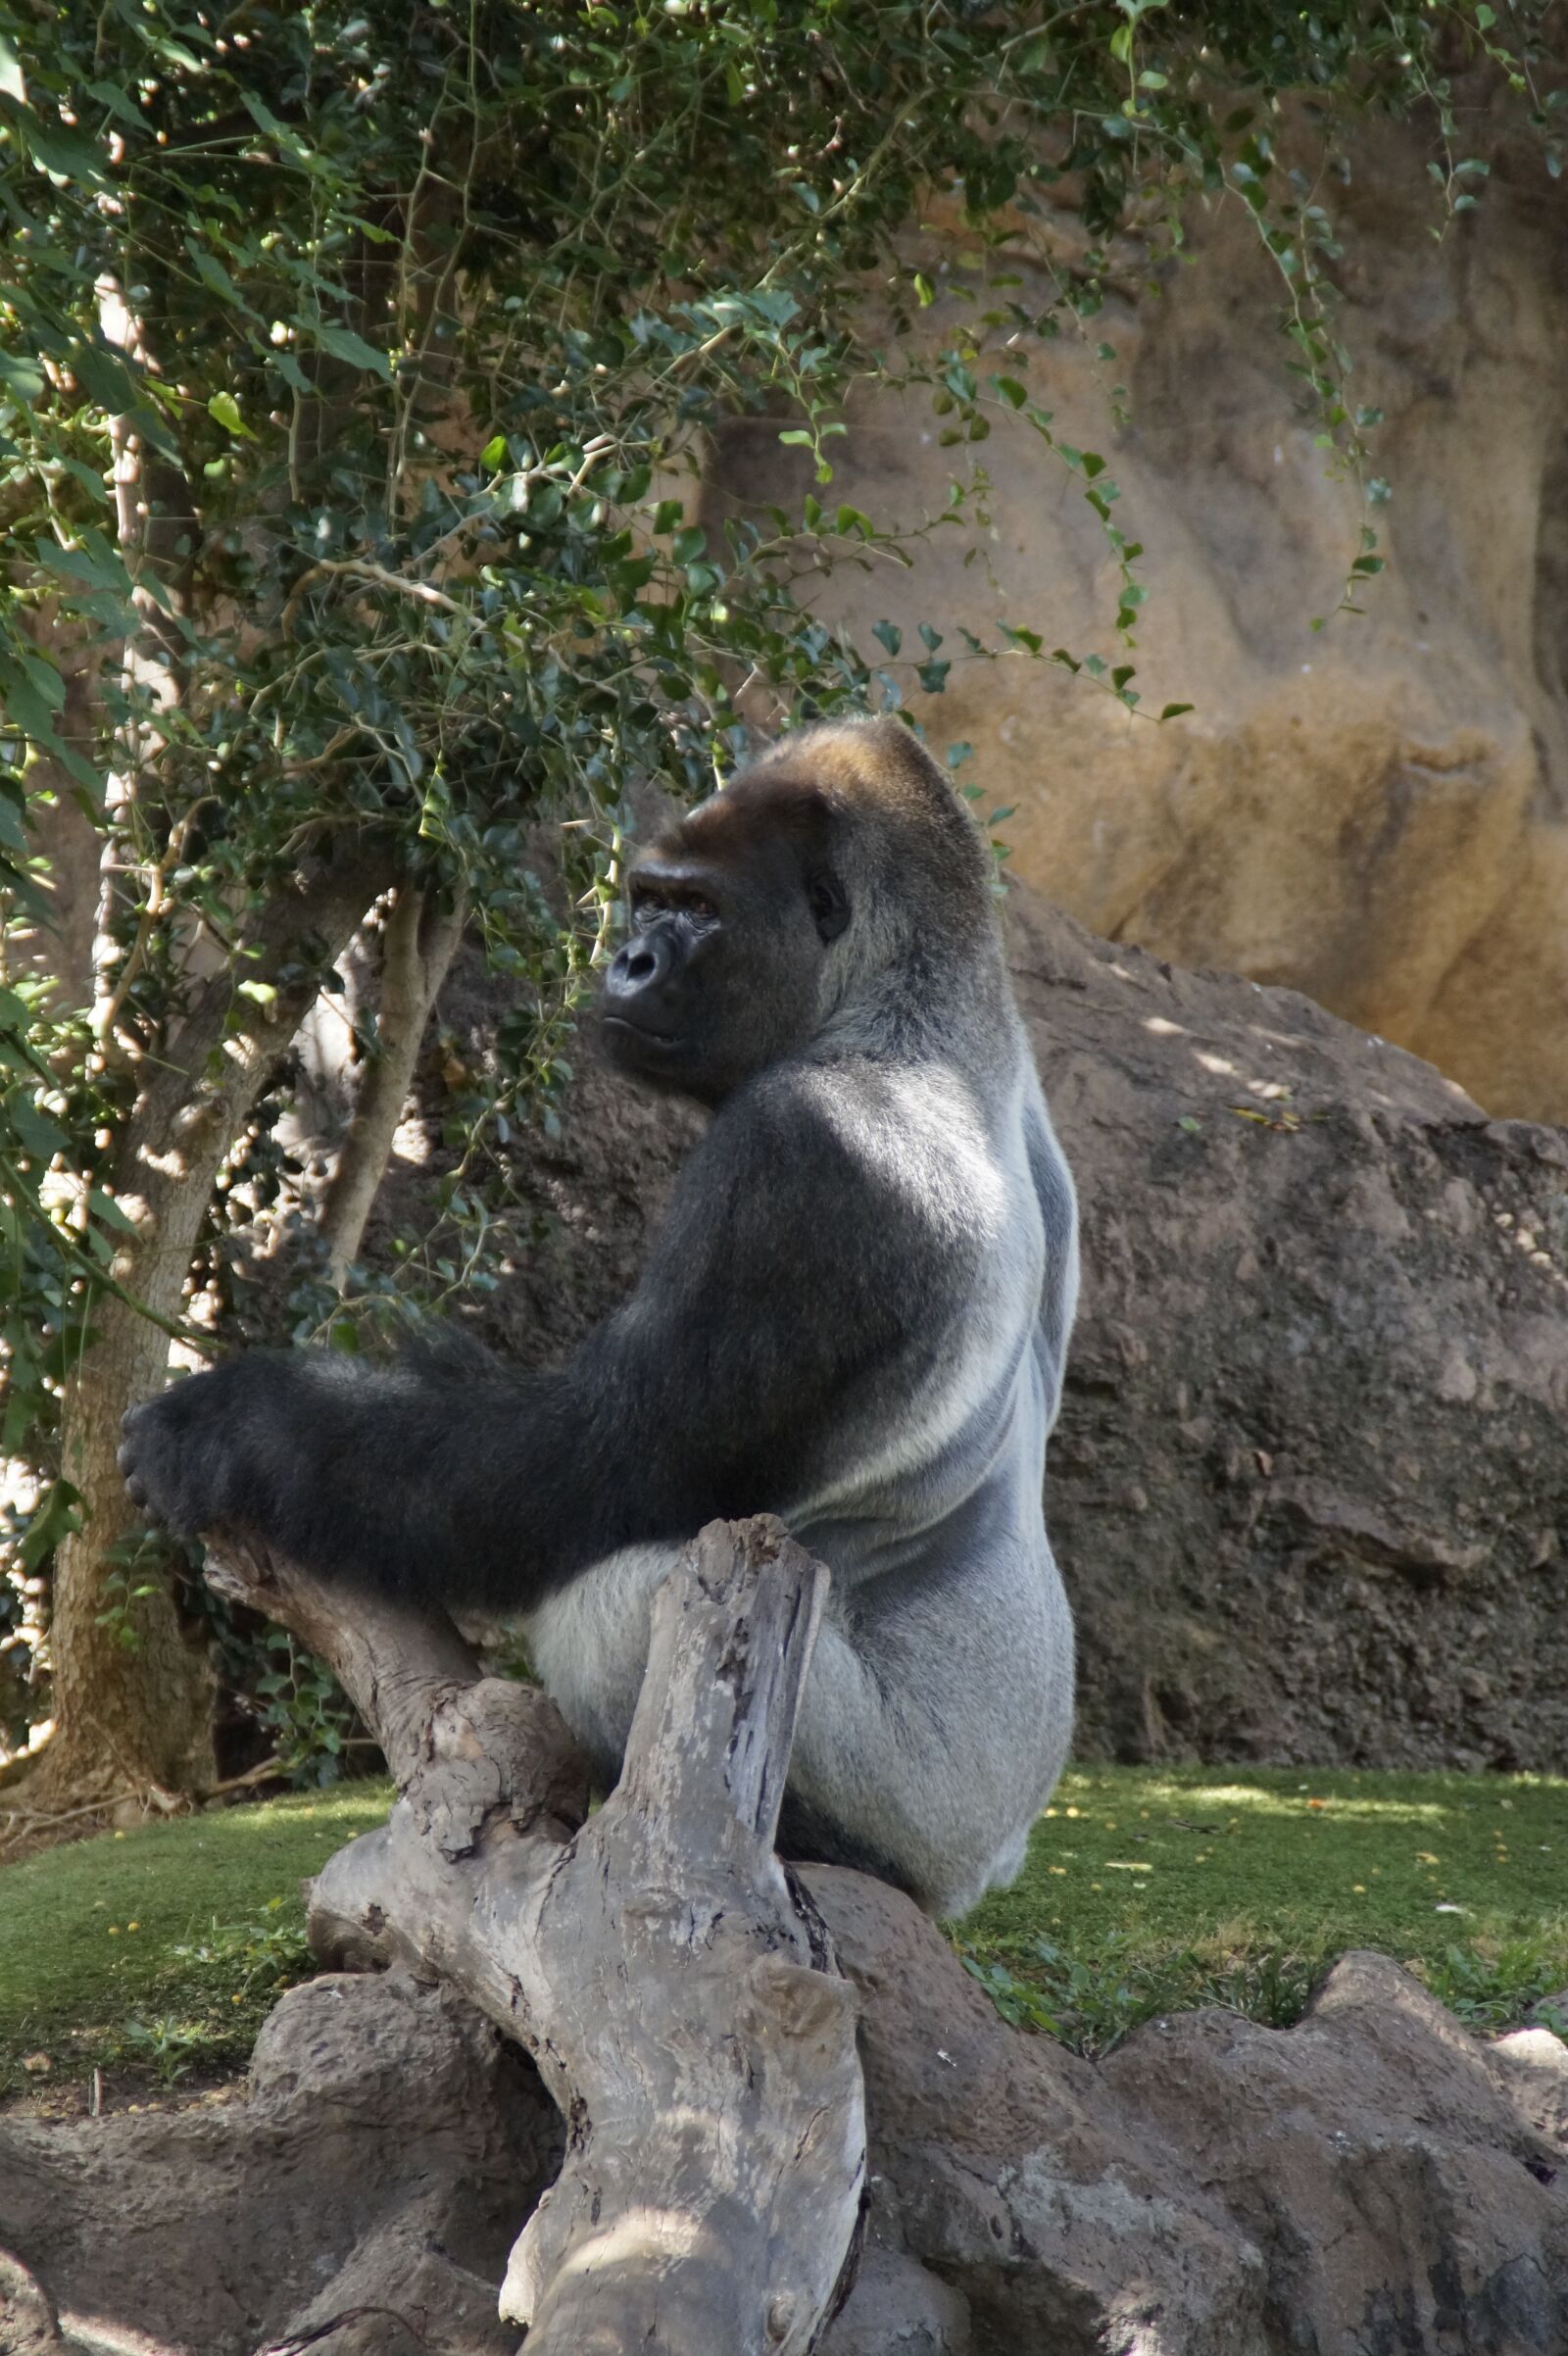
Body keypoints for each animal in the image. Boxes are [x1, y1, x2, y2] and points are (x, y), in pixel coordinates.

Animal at [120, 716, 1079, 1919]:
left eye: (698, 910)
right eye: (646, 900)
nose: (628, 963)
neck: (912, 1002)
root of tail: (992, 1861)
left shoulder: (806, 1153)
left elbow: (598, 1464)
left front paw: (242, 1426)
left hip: (926, 1819)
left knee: (614, 1605)